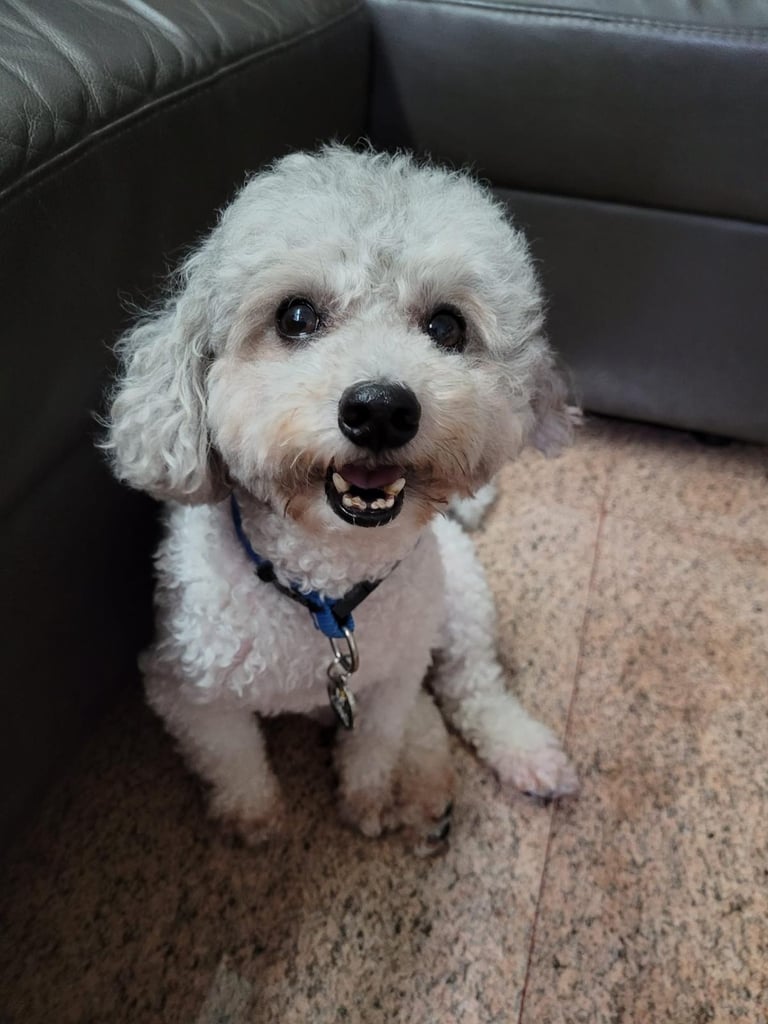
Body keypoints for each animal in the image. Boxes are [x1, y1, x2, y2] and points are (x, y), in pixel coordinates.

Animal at [104, 146, 577, 853]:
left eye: (446, 325)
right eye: (296, 317)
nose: (380, 409)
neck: (325, 595)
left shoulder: (388, 682)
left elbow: (376, 743)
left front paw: (366, 798)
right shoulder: (183, 687)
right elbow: (232, 755)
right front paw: (255, 819)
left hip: (460, 602)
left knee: (471, 687)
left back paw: (514, 758)